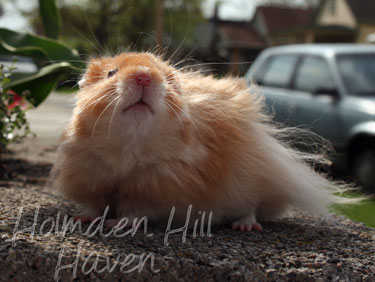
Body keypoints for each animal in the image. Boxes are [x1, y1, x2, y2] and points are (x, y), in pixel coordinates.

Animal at [52, 52, 344, 231]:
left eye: (165, 77)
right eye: (111, 73)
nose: (144, 76)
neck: (129, 146)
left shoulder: (157, 191)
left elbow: (135, 212)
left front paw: (116, 224)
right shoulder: (89, 176)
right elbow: (94, 205)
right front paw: (79, 218)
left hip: (250, 180)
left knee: (252, 207)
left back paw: (245, 226)